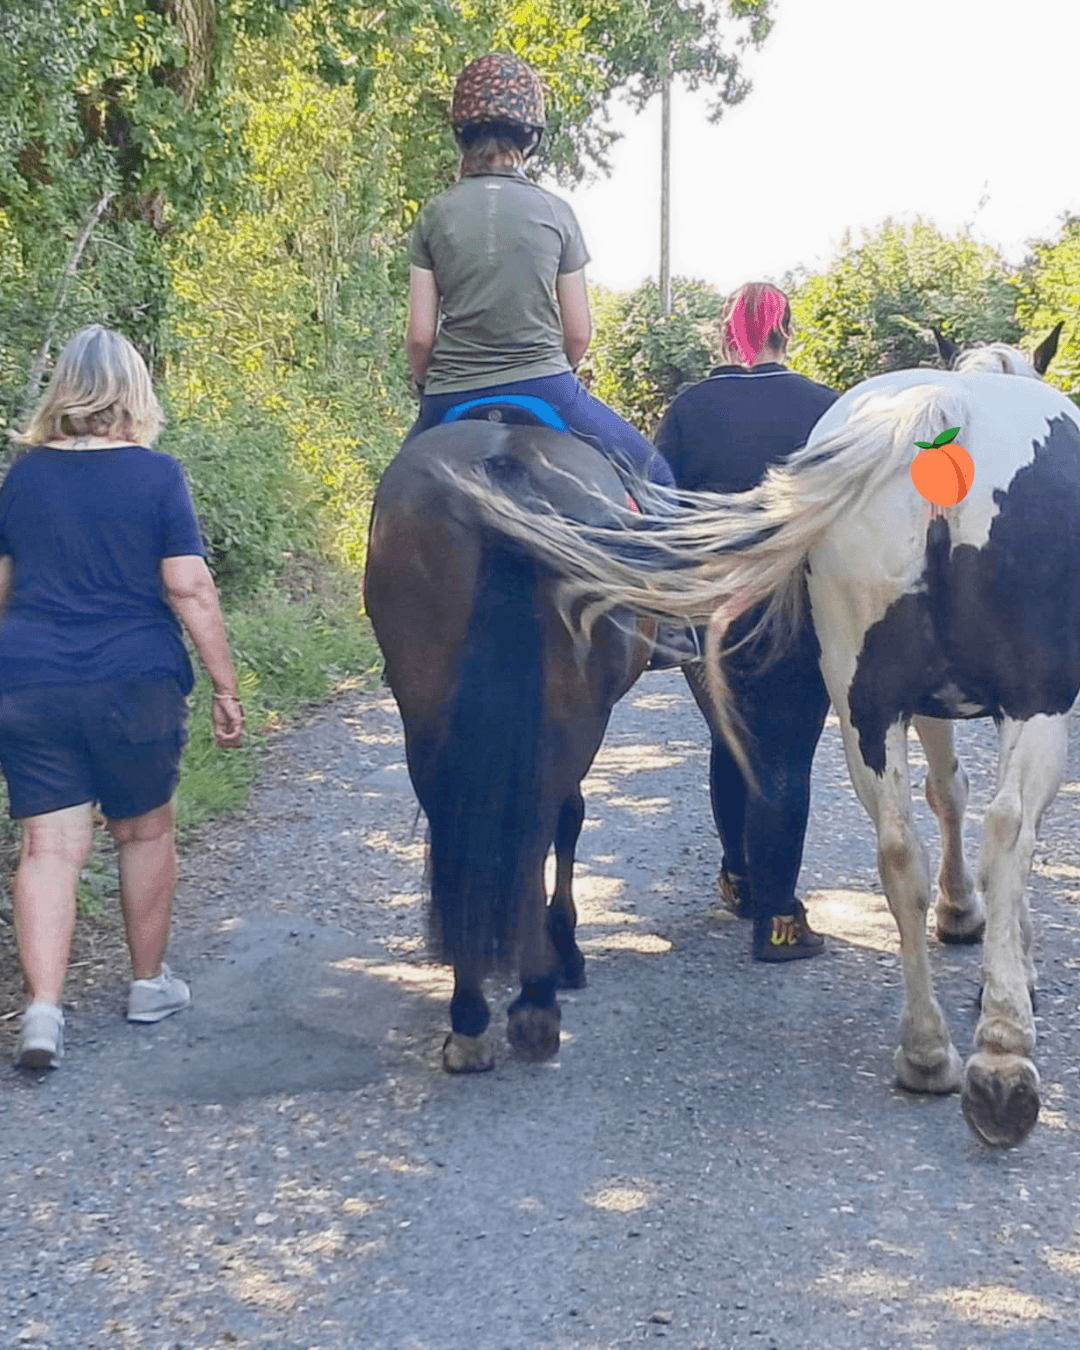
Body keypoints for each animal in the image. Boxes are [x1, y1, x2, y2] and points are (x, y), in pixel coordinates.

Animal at [363, 412, 654, 1073]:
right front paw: (564, 951)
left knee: (459, 822)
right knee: (540, 826)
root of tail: (506, 466)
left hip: (424, 711)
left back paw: (470, 1013)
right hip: (575, 717)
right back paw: (536, 1001)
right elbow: (569, 820)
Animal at [432, 328, 1078, 1147]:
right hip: (1028, 702)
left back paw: (926, 1051)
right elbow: (985, 812)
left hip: (864, 706)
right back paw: (1001, 1066)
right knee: (1007, 830)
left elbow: (945, 794)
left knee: (899, 849)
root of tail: (943, 413)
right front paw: (994, 945)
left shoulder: (926, 704)